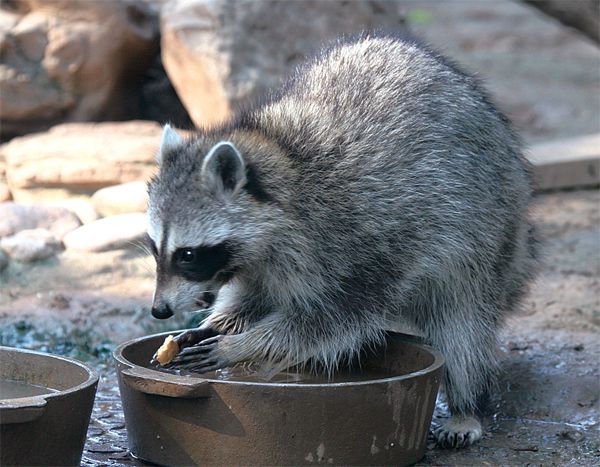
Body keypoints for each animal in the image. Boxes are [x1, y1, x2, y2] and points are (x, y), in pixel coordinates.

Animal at [144, 34, 536, 448]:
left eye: (187, 255)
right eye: (155, 248)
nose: (159, 311)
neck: (281, 160)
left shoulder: (362, 239)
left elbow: (334, 319)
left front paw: (243, 344)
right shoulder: (257, 260)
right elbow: (254, 296)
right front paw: (219, 324)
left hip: (485, 227)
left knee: (463, 321)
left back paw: (466, 404)